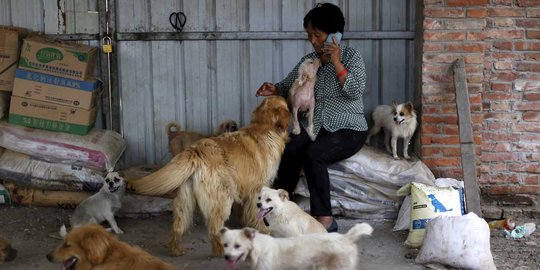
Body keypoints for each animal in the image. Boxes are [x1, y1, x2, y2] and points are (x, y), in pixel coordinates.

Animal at [130, 96, 292, 256]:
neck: (265, 126)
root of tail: (196, 151)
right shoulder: (258, 187)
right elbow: (257, 212)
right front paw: (262, 229)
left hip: (185, 200)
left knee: (178, 226)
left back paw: (176, 249)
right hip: (222, 199)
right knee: (215, 228)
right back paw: (221, 250)